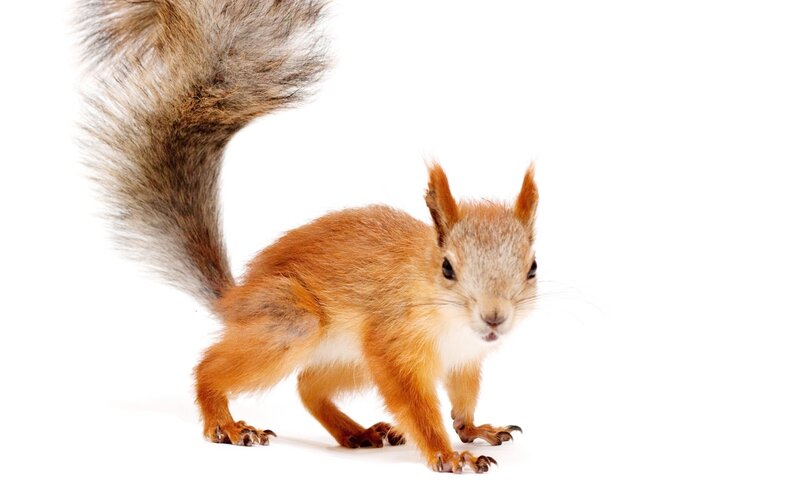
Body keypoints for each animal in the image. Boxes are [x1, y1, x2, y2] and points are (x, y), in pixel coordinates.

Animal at [79, 0, 539, 474]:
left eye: (532, 267)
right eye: (447, 268)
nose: (494, 318)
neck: (450, 321)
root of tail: (234, 300)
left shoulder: (466, 359)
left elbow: (463, 399)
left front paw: (474, 429)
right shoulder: (391, 342)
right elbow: (414, 403)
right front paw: (448, 453)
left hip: (345, 360)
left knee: (308, 385)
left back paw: (357, 432)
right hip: (289, 322)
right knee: (210, 369)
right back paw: (227, 423)